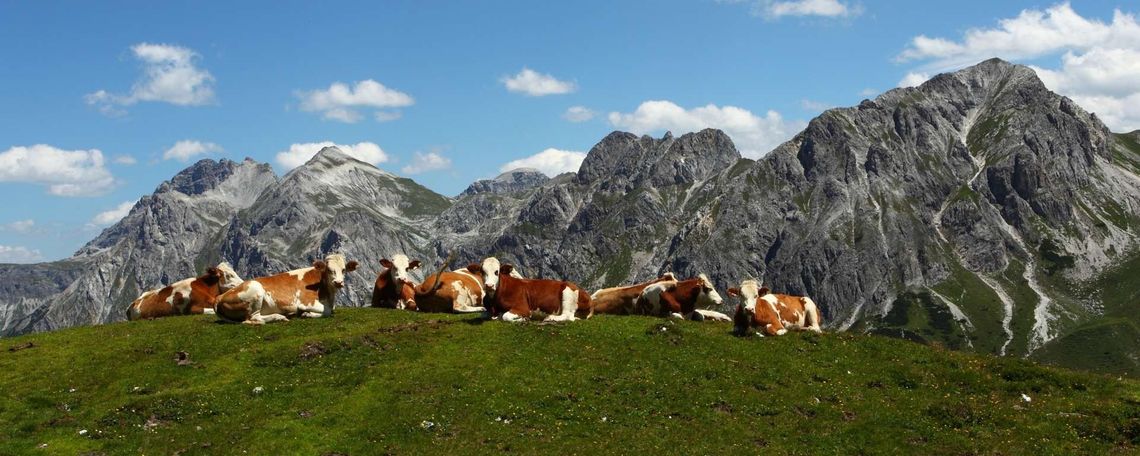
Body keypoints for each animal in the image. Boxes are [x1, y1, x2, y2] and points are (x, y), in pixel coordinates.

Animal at [213, 253, 355, 323]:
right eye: (329, 270)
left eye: (344, 270)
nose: (338, 282)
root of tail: (219, 297)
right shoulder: (306, 302)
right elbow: (328, 311)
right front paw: (307, 314)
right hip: (255, 289)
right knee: (254, 318)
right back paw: (279, 317)